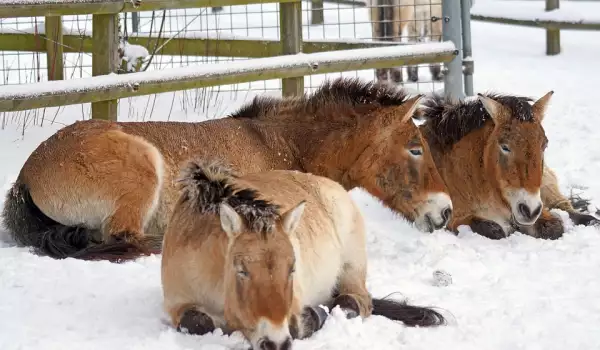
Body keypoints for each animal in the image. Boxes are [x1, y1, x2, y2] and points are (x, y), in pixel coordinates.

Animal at [0, 77, 452, 262]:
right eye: (415, 149)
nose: (445, 211)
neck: (281, 144)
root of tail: (26, 176)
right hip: (143, 171)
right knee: (128, 240)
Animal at [159, 159, 446, 350]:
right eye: (241, 270)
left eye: (293, 268)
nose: (275, 343)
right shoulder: (177, 304)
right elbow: (197, 322)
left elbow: (299, 325)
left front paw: (315, 316)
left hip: (352, 266)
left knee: (356, 301)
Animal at [418, 91, 600, 241]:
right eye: (505, 147)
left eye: (544, 145)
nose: (529, 210)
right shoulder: (455, 219)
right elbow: (495, 230)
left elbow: (554, 227)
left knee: (566, 207)